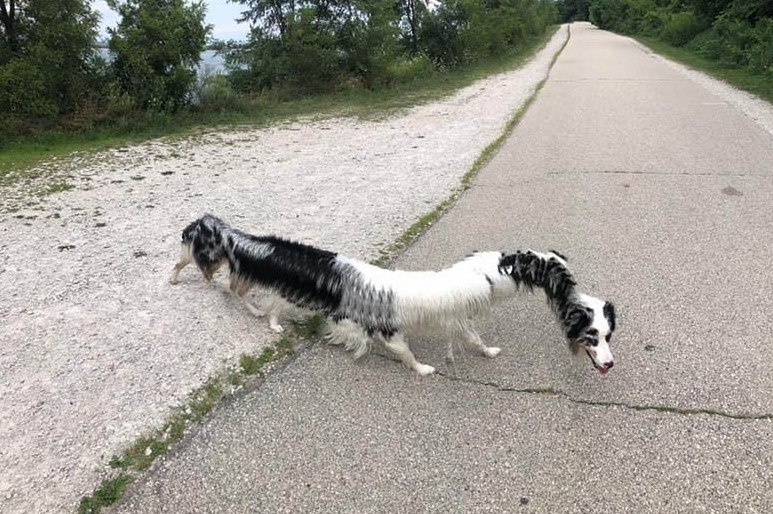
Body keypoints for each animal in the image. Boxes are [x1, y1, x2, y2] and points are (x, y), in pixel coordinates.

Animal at [170, 214, 617, 376]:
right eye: (592, 335)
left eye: (607, 333)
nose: (609, 363)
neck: (491, 273)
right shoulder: (394, 327)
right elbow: (407, 353)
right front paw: (425, 370)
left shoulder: (458, 319)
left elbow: (474, 340)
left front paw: (488, 353)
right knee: (271, 304)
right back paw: (276, 325)